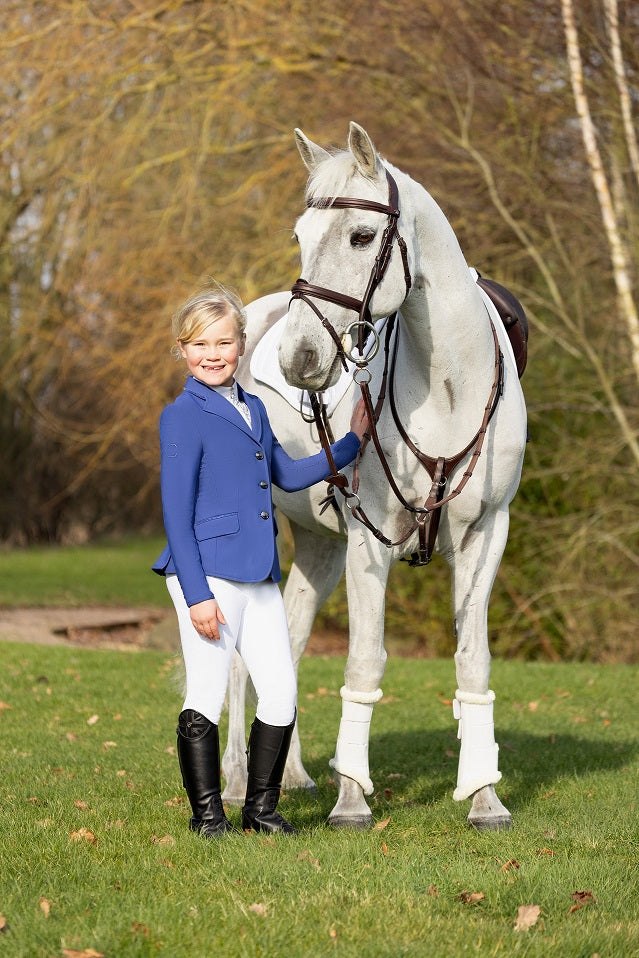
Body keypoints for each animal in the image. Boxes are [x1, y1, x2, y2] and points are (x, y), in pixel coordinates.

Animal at [221, 122, 527, 831]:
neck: (447, 387)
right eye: (300, 235)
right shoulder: (369, 543)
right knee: (242, 656)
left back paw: (293, 775)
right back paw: (233, 780)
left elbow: (473, 662)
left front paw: (485, 797)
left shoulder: (485, 537)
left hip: (318, 548)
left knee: (288, 644)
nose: (299, 358)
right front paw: (352, 798)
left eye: (362, 236)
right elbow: (364, 661)